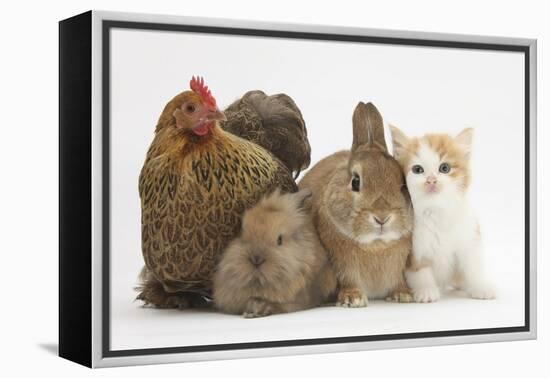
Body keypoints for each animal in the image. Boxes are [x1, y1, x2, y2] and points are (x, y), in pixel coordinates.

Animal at [302, 102, 414, 308]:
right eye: (355, 181)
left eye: (403, 184)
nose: (382, 217)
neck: (375, 245)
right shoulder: (342, 264)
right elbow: (349, 279)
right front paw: (352, 299)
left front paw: (402, 295)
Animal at [392, 125, 496, 302]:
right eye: (417, 170)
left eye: (445, 168)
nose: (431, 180)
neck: (436, 211)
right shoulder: (413, 248)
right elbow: (420, 270)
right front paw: (426, 290)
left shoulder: (469, 236)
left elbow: (473, 265)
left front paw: (480, 287)